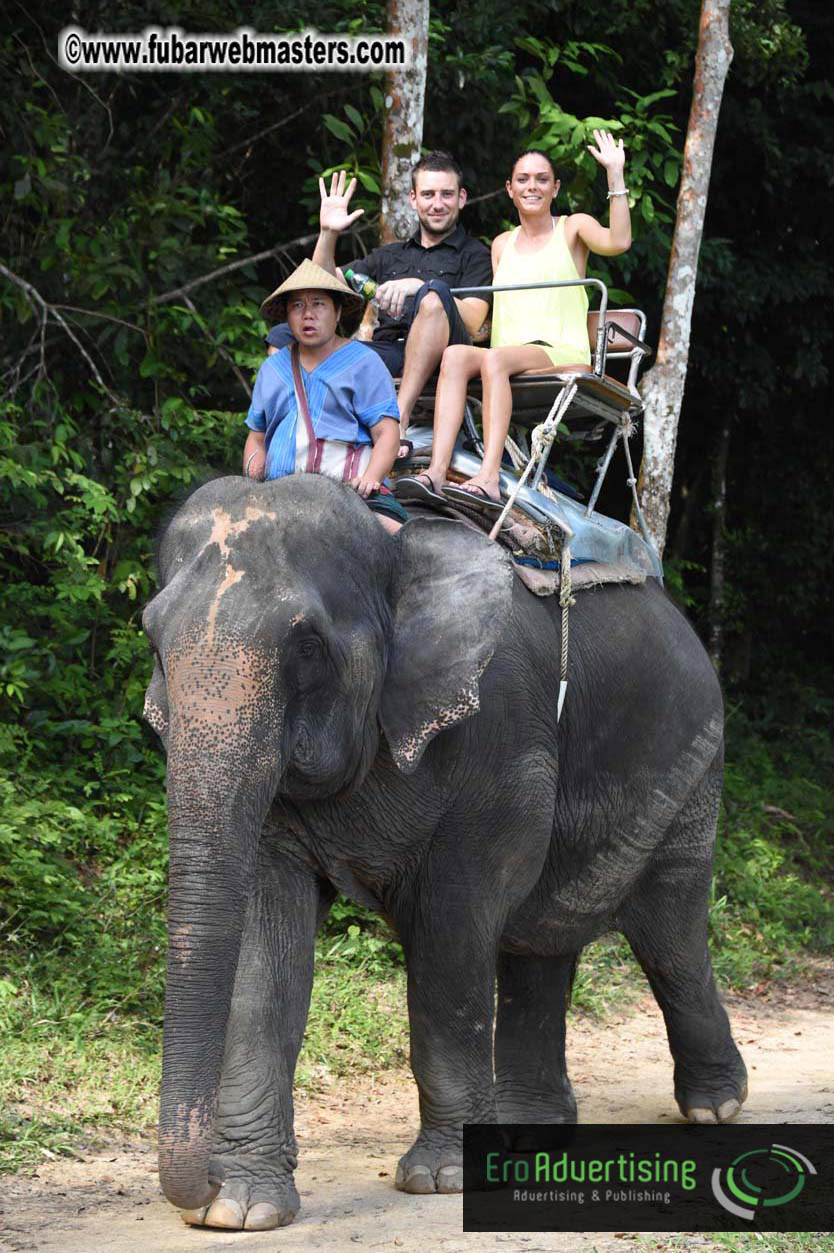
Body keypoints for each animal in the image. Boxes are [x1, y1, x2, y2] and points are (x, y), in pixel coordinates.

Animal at [141, 472, 747, 1232]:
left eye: (307, 646)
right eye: (152, 640)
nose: (202, 1188)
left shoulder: (499, 738)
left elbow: (452, 925)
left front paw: (444, 1179)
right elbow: (266, 939)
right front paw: (240, 1210)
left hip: (692, 762)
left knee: (669, 932)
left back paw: (715, 1106)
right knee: (543, 938)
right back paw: (531, 1134)